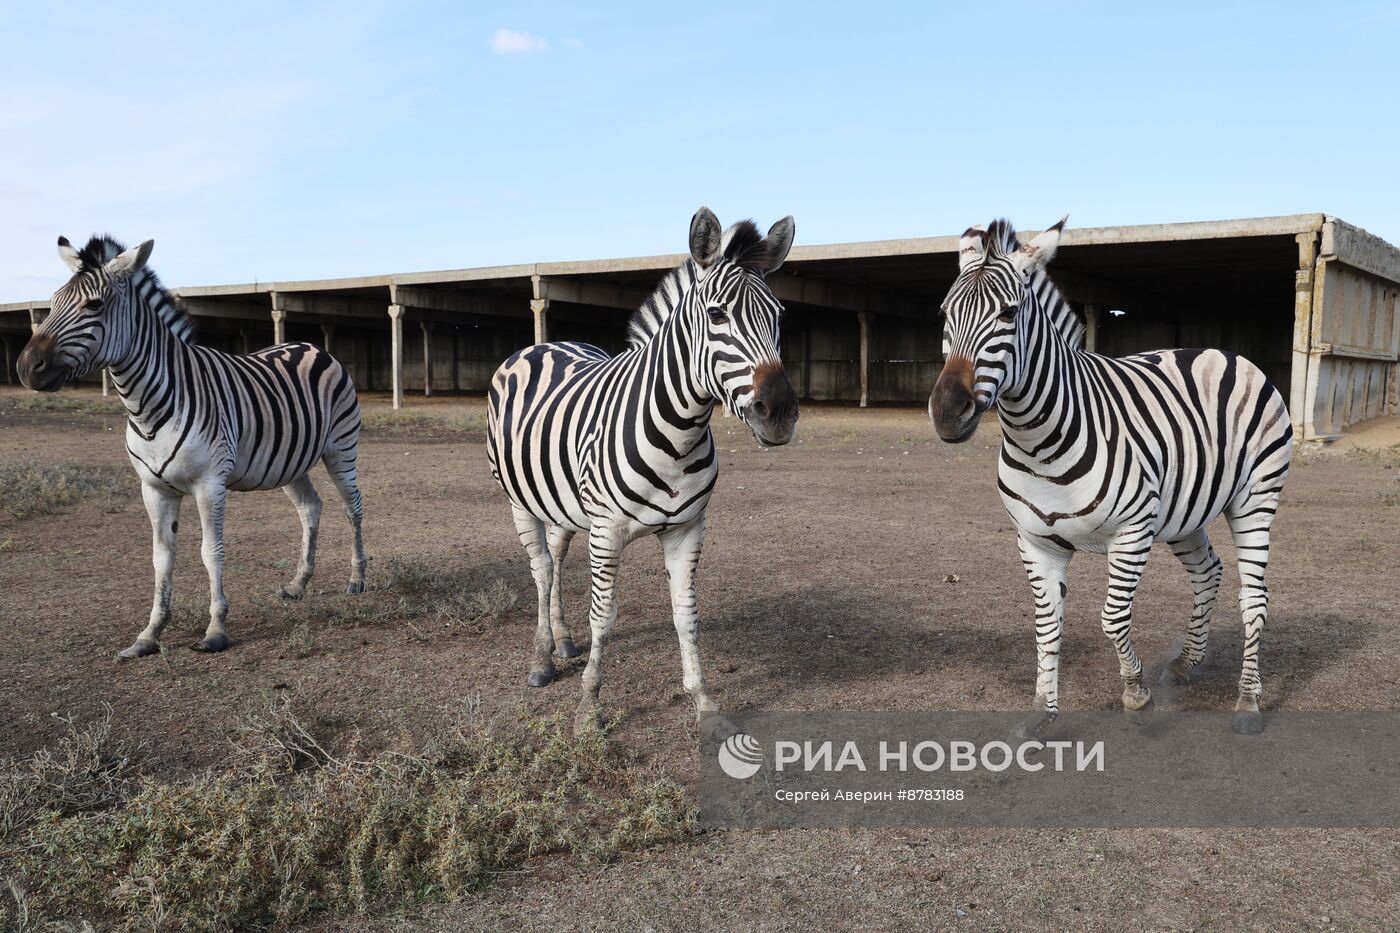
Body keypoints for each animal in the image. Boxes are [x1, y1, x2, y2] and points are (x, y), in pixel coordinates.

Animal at [17, 232, 366, 652]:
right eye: (51, 303)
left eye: (94, 305)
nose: (26, 367)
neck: (147, 407)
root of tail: (310, 345)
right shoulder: (153, 489)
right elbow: (161, 558)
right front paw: (149, 634)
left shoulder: (209, 484)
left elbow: (210, 552)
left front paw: (216, 629)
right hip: (290, 461)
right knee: (310, 508)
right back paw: (299, 584)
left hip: (340, 448)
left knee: (352, 507)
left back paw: (357, 579)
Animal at [490, 207, 800, 728]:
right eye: (716, 314)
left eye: (778, 316)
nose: (778, 413)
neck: (679, 434)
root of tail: (546, 344)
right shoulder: (606, 530)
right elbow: (604, 615)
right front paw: (588, 707)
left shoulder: (688, 528)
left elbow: (686, 614)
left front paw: (704, 702)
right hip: (519, 500)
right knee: (542, 570)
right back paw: (541, 660)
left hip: (562, 504)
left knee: (556, 558)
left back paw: (563, 640)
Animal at [929, 219, 1288, 734]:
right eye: (944, 313)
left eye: (1009, 313)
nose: (946, 413)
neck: (1040, 444)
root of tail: (1224, 352)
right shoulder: (1036, 542)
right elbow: (1046, 626)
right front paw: (1042, 715)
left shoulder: (1132, 532)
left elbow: (1113, 619)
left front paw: (1136, 696)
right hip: (1184, 513)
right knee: (1208, 572)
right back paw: (1186, 664)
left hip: (1255, 498)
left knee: (1254, 599)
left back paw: (1247, 703)